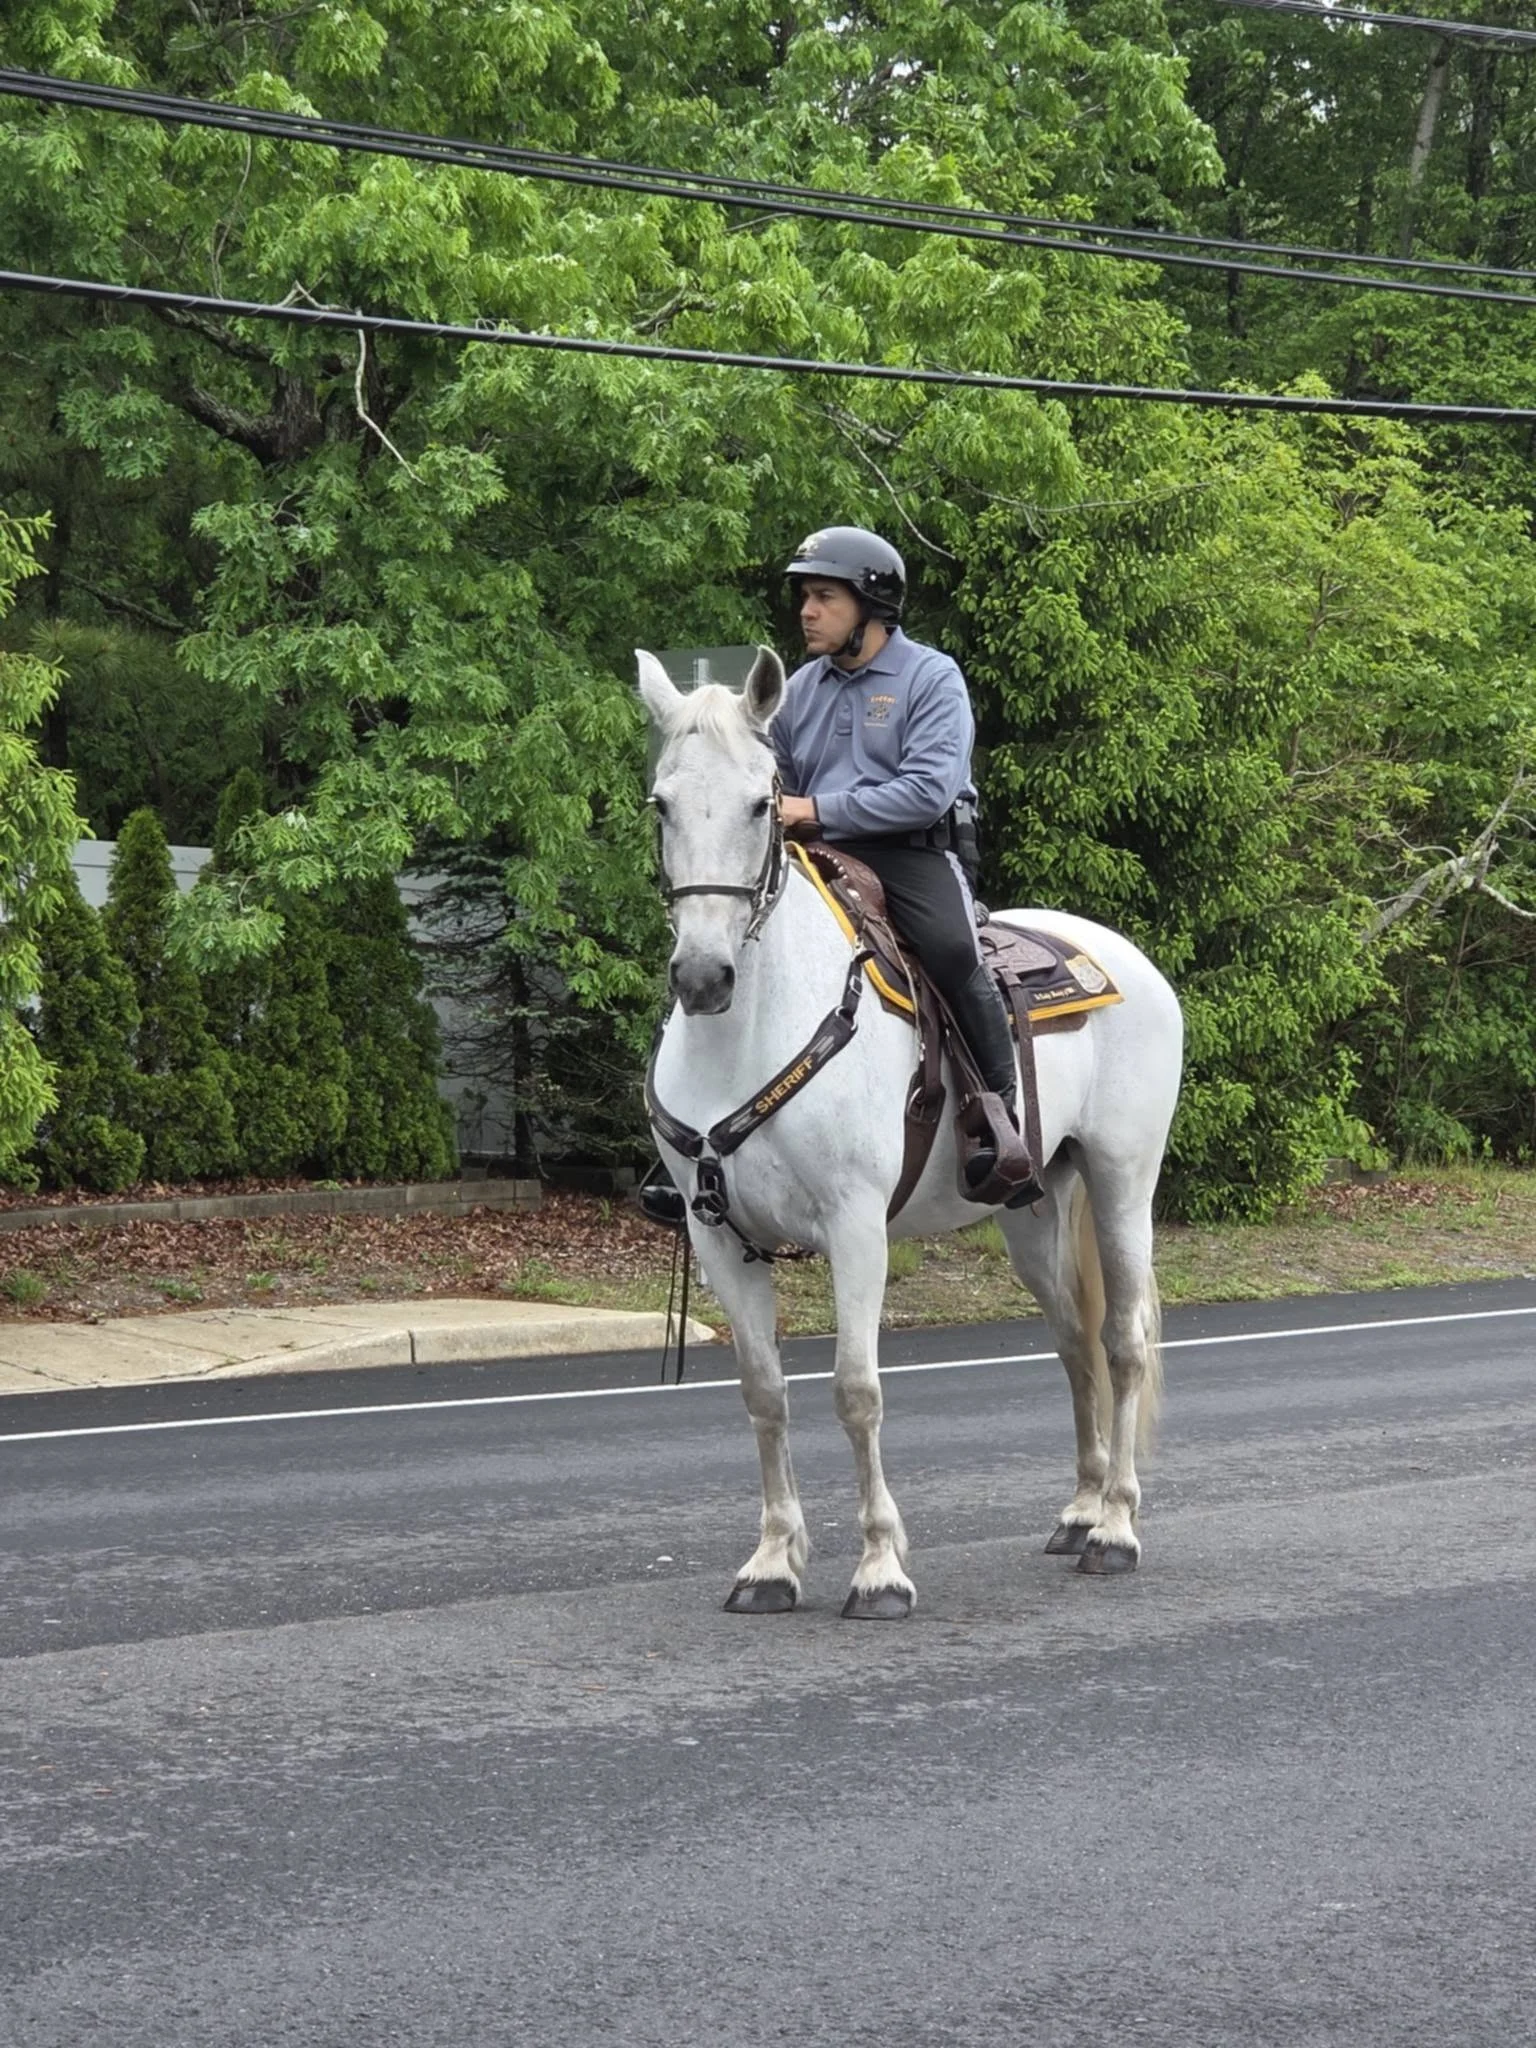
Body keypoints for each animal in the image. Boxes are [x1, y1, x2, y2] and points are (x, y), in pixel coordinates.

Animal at [638, 645, 1184, 1619]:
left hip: (1125, 1178)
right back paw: (1080, 1512)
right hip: (1034, 1208)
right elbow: (764, 1394)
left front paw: (880, 1569)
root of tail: (1120, 954)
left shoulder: (856, 1226)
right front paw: (771, 1563)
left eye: (760, 804)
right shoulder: (719, 1237)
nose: (703, 977)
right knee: (1075, 1343)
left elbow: (856, 1392)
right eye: (661, 803)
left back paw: (1116, 1530)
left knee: (1122, 1342)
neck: (750, 1033)